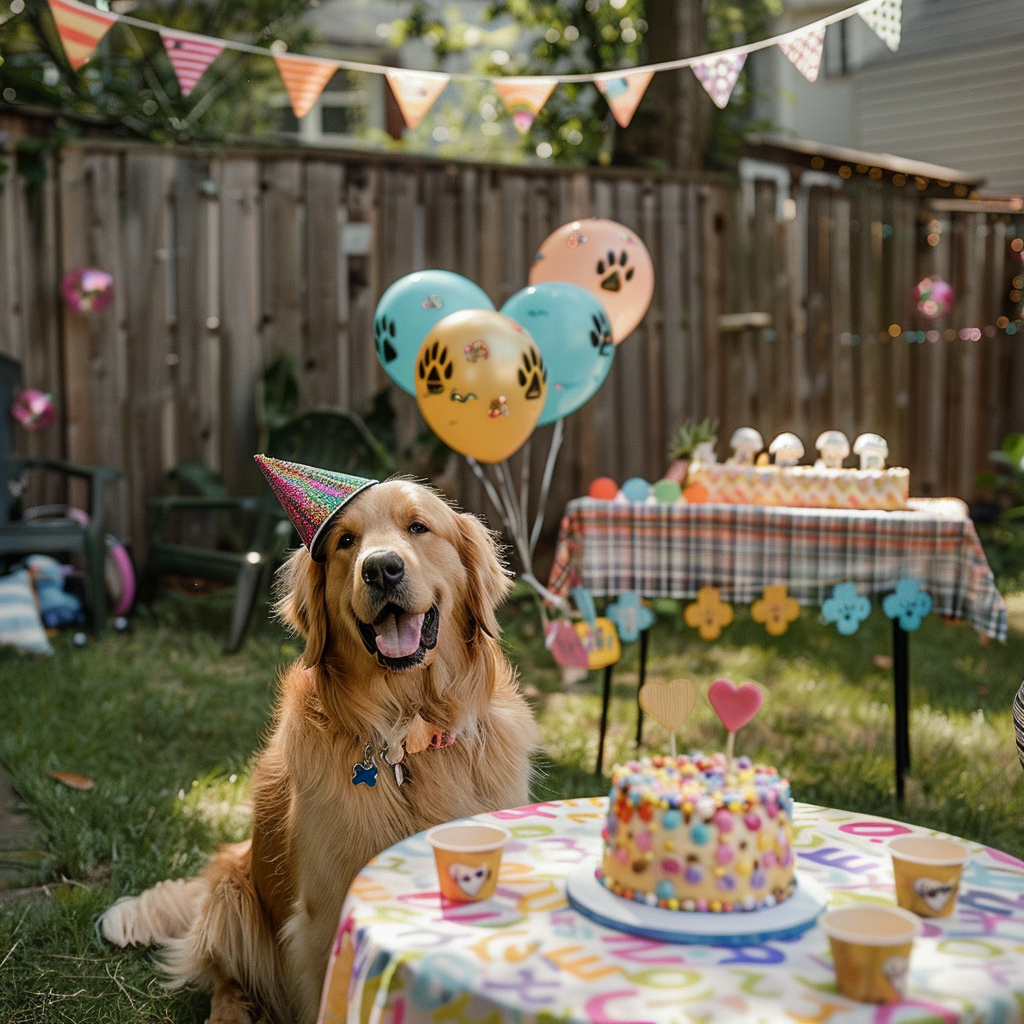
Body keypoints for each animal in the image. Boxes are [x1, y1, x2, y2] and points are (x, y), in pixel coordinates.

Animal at [99, 479, 540, 1024]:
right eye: (345, 542)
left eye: (418, 527)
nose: (381, 568)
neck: (406, 733)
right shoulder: (325, 912)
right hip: (232, 896)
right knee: (224, 977)